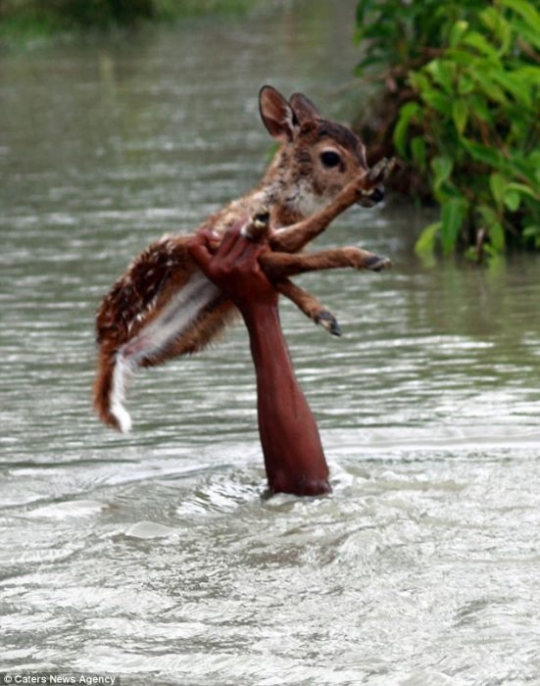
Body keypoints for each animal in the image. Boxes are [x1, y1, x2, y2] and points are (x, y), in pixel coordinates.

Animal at [95, 84, 394, 430]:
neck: (281, 207)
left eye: (362, 147)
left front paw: (324, 314)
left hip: (195, 330)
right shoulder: (230, 237)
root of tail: (111, 346)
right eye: (331, 156)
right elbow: (296, 252)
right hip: (168, 253)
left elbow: (287, 268)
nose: (379, 192)